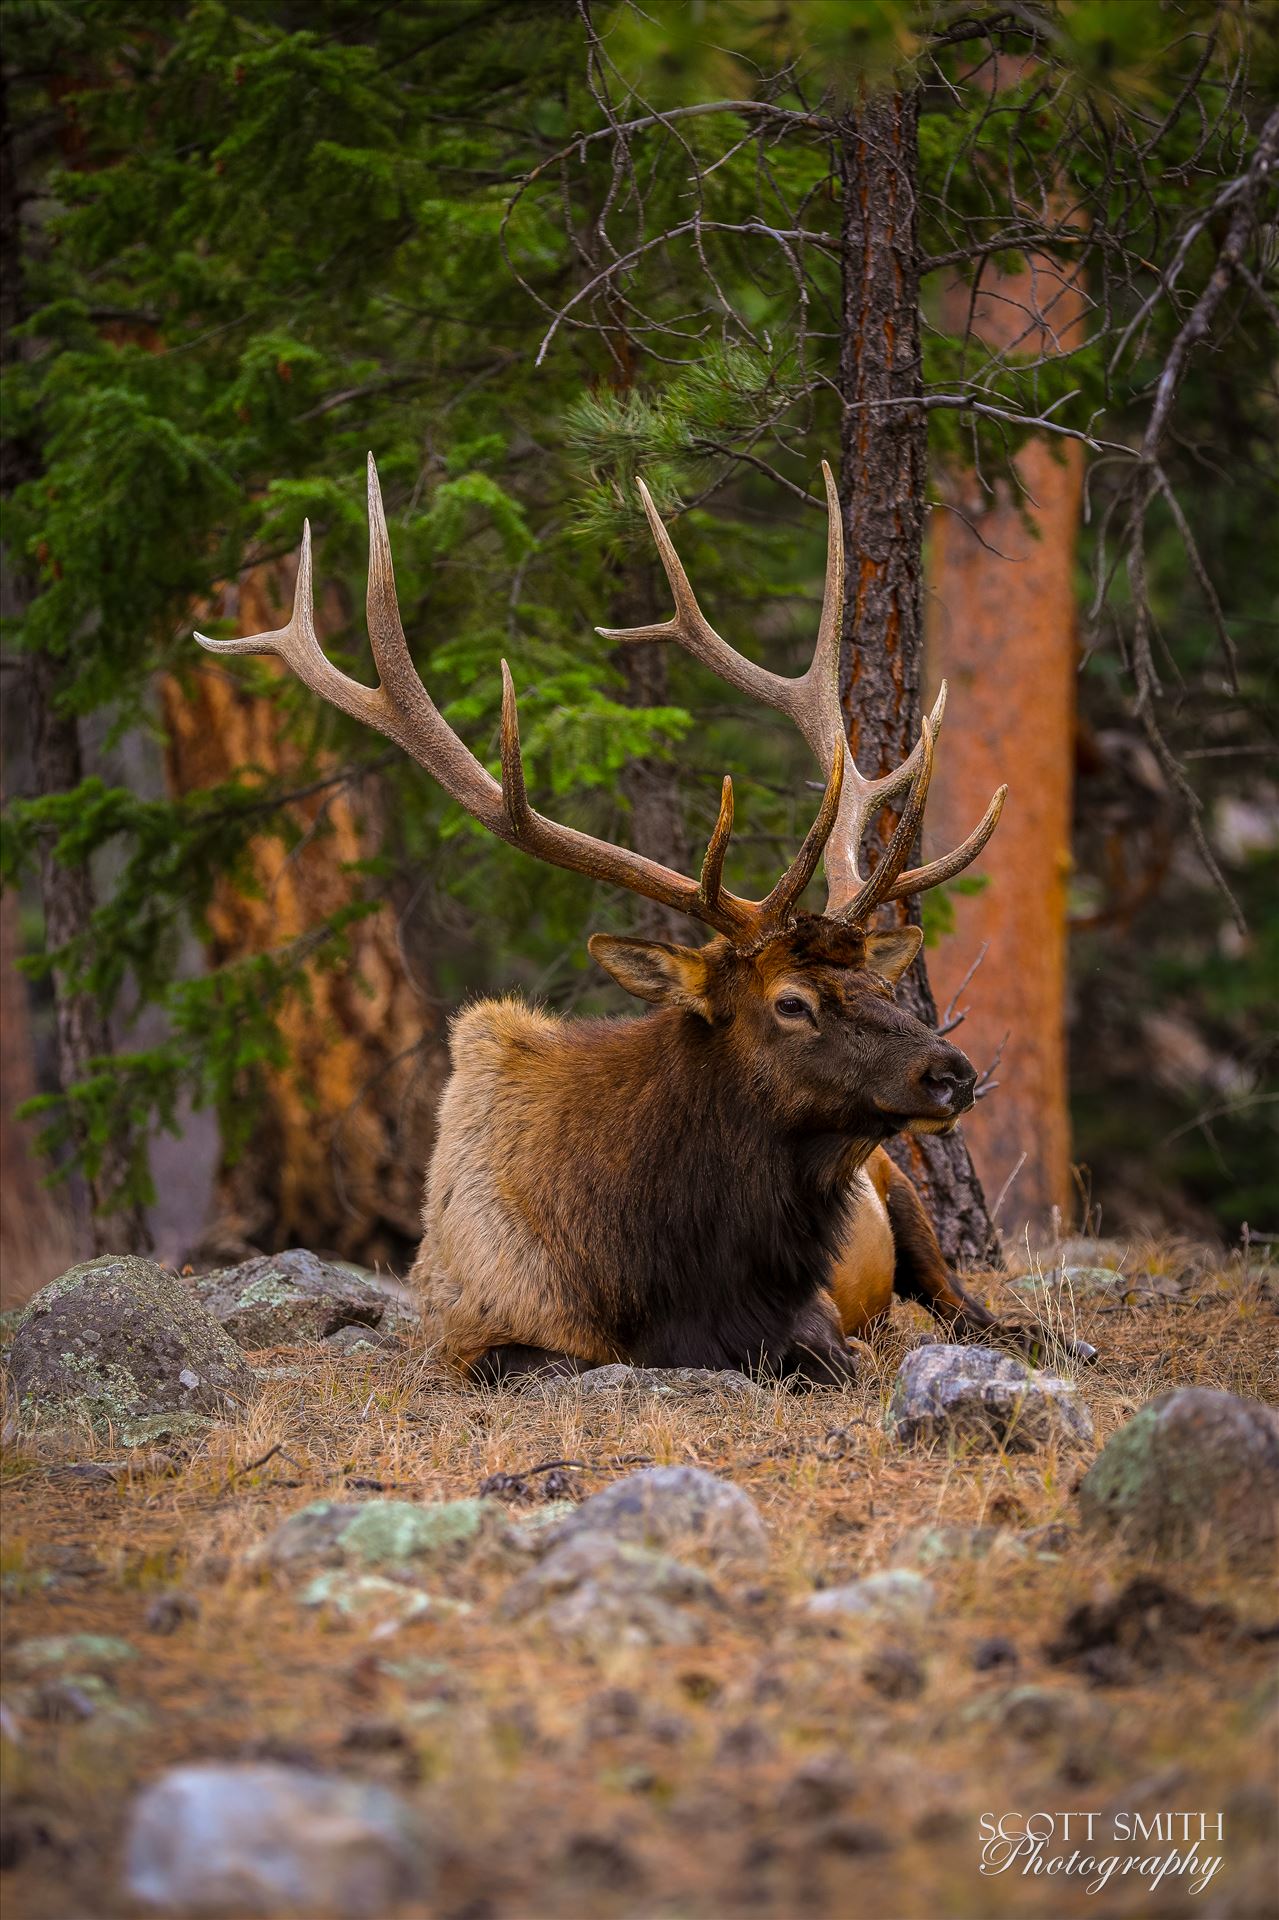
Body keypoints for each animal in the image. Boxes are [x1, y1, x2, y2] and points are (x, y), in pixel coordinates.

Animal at [196, 453, 1052, 1382]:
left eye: (879, 985)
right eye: (791, 1002)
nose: (951, 1073)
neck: (673, 1273)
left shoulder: (813, 1309)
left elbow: (836, 1354)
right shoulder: (469, 1332)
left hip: (902, 1193)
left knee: (966, 1304)